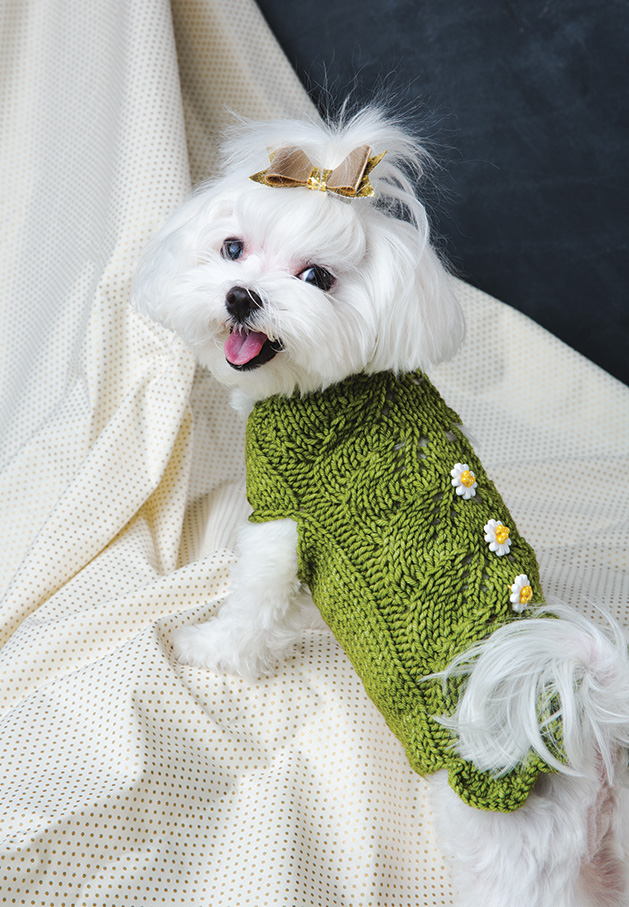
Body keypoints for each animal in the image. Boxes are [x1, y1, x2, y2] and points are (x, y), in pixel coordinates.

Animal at [135, 108, 628, 907]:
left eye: (317, 278)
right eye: (232, 248)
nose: (241, 296)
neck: (329, 385)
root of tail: (580, 732)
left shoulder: (280, 519)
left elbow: (249, 609)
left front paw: (206, 649)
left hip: (502, 852)